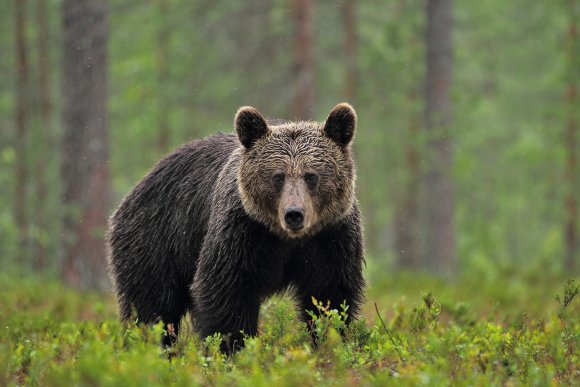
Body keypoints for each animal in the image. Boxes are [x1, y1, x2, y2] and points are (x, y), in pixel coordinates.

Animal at [106, 104, 364, 354]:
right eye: (277, 176)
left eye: (311, 176)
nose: (294, 214)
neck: (287, 239)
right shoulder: (241, 232)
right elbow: (225, 292)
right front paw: (232, 349)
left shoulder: (330, 237)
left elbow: (329, 296)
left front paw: (328, 342)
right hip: (156, 238)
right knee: (151, 307)